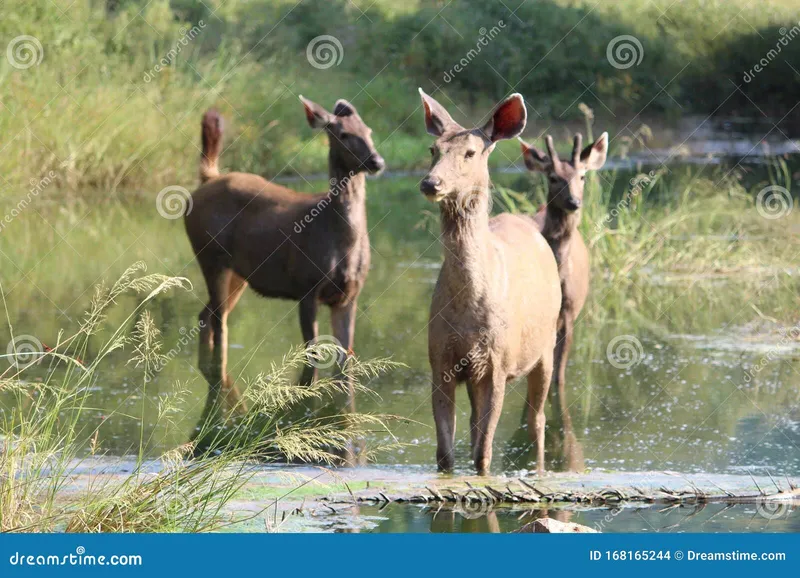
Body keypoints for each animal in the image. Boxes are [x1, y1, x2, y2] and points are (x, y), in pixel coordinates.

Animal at [188, 99, 388, 396]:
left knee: (206, 316)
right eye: (343, 134)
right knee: (218, 322)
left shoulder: (351, 293)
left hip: (238, 273)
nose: (377, 161)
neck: (340, 241)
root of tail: (208, 179)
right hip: (210, 256)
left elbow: (345, 356)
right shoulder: (307, 286)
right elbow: (312, 352)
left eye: (369, 130)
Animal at [418, 90, 564, 474]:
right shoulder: (440, 359)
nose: (430, 183)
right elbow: (445, 454)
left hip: (546, 346)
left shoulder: (497, 362)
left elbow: (484, 454)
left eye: (470, 152)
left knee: (538, 419)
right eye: (433, 149)